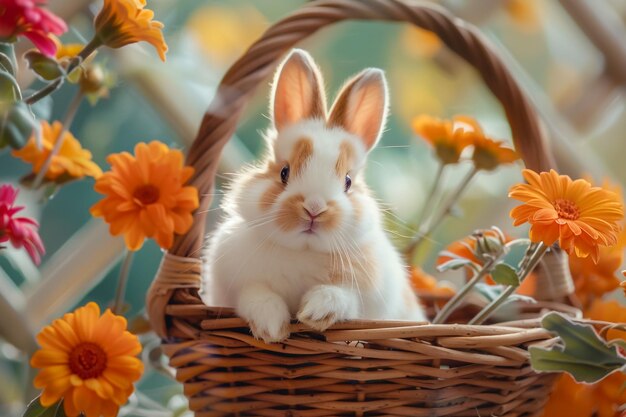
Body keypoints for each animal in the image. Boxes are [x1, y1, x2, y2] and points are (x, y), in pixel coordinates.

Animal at [202, 49, 426, 342]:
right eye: (284, 172)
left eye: (348, 181)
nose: (314, 209)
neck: (303, 252)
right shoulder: (234, 285)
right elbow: (255, 295)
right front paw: (272, 327)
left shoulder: (367, 301)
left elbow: (342, 298)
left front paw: (314, 313)